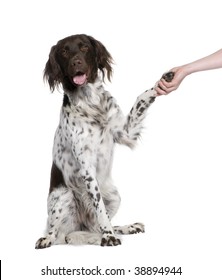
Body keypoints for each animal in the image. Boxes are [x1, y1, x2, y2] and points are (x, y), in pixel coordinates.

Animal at [34, 34, 173, 248]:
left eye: (84, 47)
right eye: (64, 51)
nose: (76, 62)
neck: (89, 101)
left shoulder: (125, 132)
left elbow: (140, 99)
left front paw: (162, 82)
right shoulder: (87, 167)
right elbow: (99, 209)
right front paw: (108, 236)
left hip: (115, 196)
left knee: (95, 227)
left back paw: (129, 227)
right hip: (64, 196)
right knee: (58, 233)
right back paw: (48, 239)